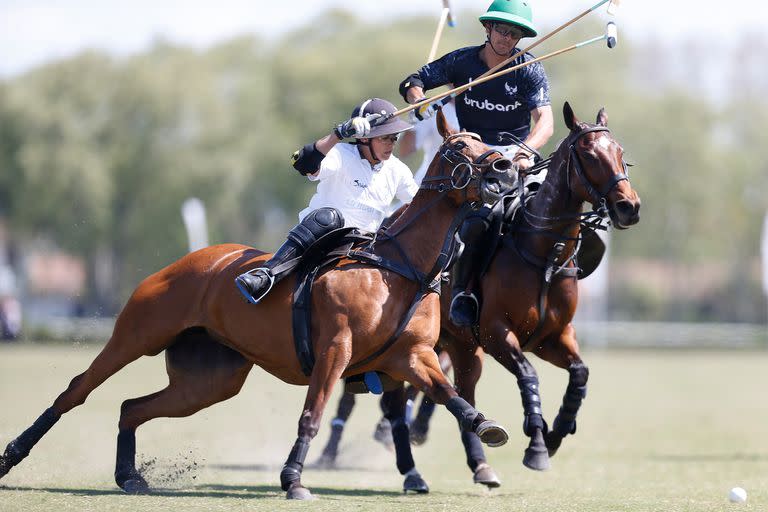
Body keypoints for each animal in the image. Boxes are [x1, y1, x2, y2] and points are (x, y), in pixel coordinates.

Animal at [0, 112, 516, 500]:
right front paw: (293, 480)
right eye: (459, 148)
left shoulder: (410, 356)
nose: (507, 170)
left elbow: (451, 396)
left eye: (487, 142)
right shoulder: (336, 348)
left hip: (210, 380)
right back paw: (13, 454)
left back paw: (128, 475)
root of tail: (188, 259)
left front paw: (488, 428)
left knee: (131, 407)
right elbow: (313, 412)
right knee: (78, 390)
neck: (397, 266)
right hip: (137, 334)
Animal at [438, 102, 640, 486]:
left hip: (463, 349)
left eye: (621, 152)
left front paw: (556, 431)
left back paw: (480, 465)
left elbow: (580, 374)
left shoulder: (552, 337)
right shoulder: (496, 333)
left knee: (460, 391)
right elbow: (528, 376)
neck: (545, 253)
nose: (629, 207)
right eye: (589, 154)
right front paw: (537, 443)